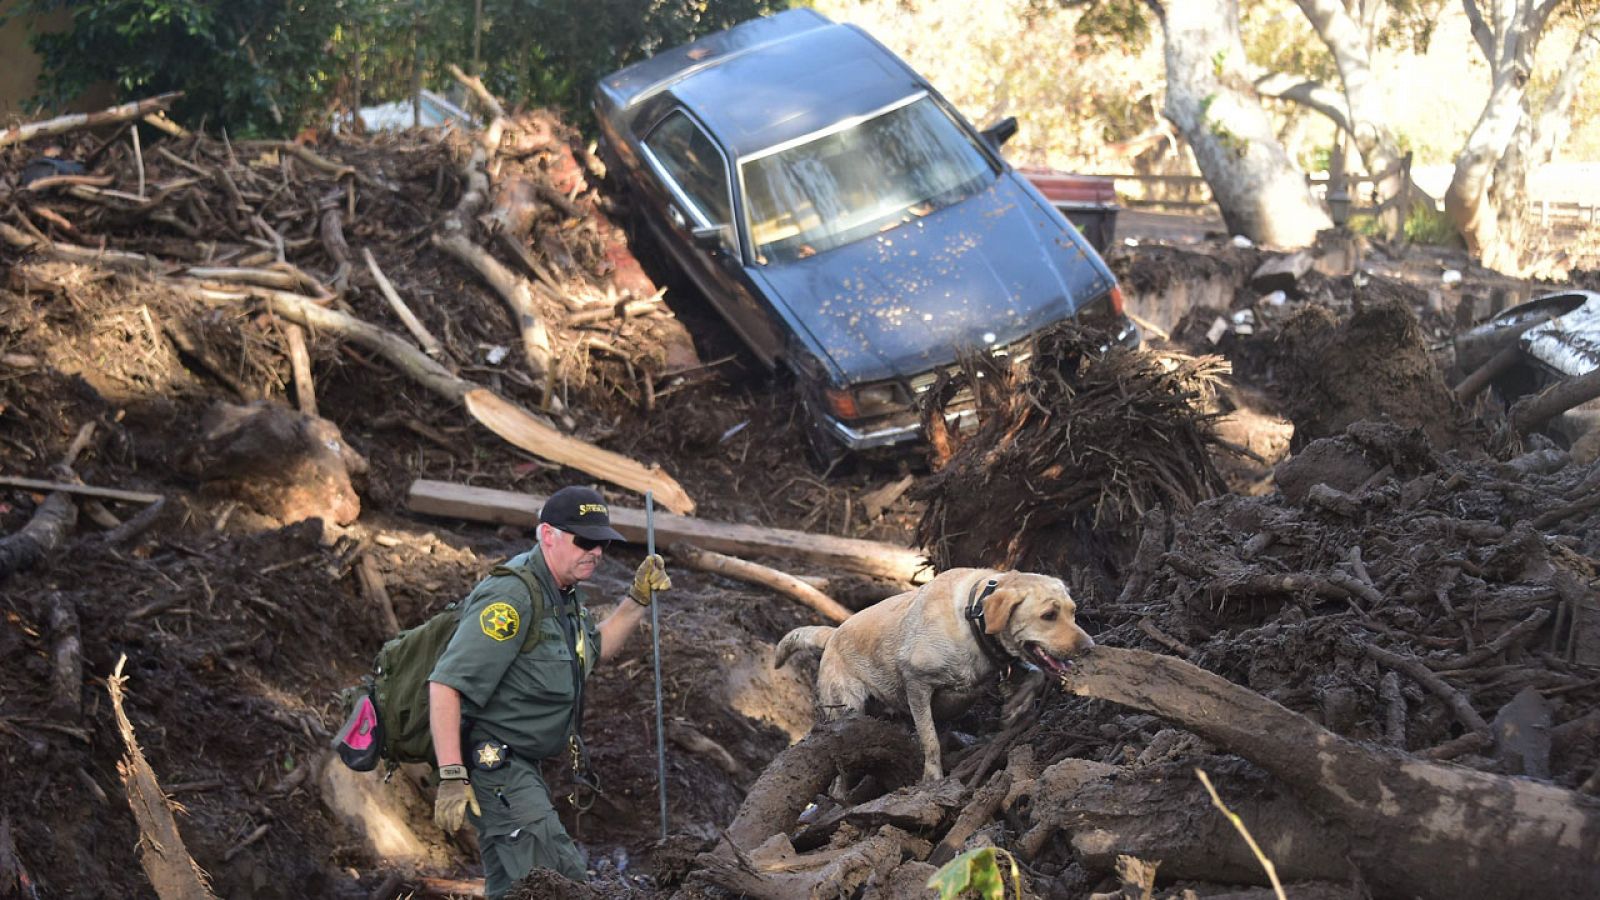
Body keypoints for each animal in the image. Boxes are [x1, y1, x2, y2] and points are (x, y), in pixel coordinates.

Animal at [771, 566, 1094, 778]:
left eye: (1073, 611)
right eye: (1048, 615)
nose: (1090, 646)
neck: (973, 617)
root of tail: (833, 633)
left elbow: (1036, 675)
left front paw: (1017, 705)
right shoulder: (917, 683)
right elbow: (930, 739)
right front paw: (933, 777)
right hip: (845, 706)